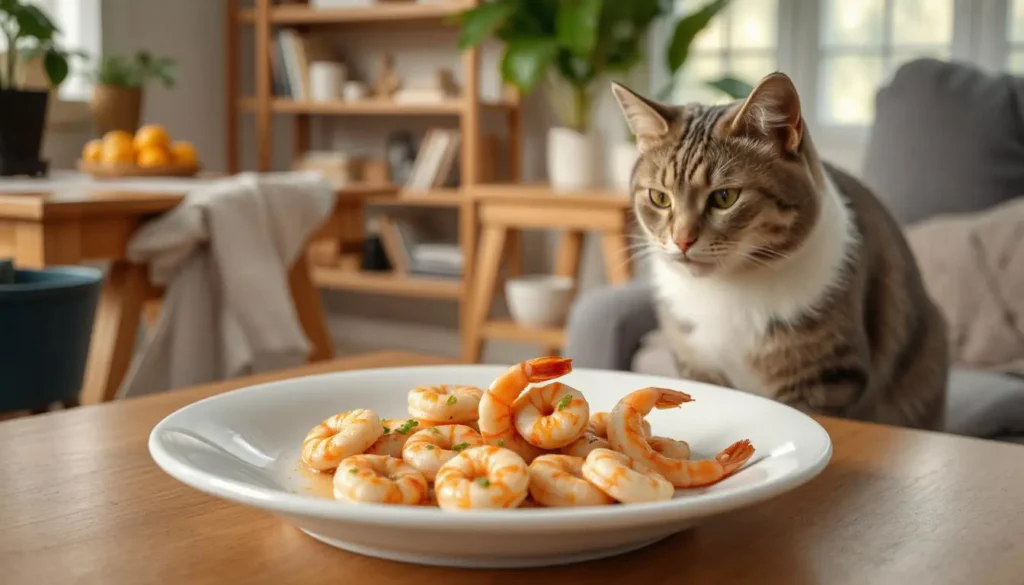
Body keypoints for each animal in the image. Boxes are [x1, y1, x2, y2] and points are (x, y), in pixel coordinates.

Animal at [610, 72, 946, 430]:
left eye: (725, 197)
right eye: (659, 198)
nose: (682, 240)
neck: (726, 291)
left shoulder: (826, 377)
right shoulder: (696, 365)